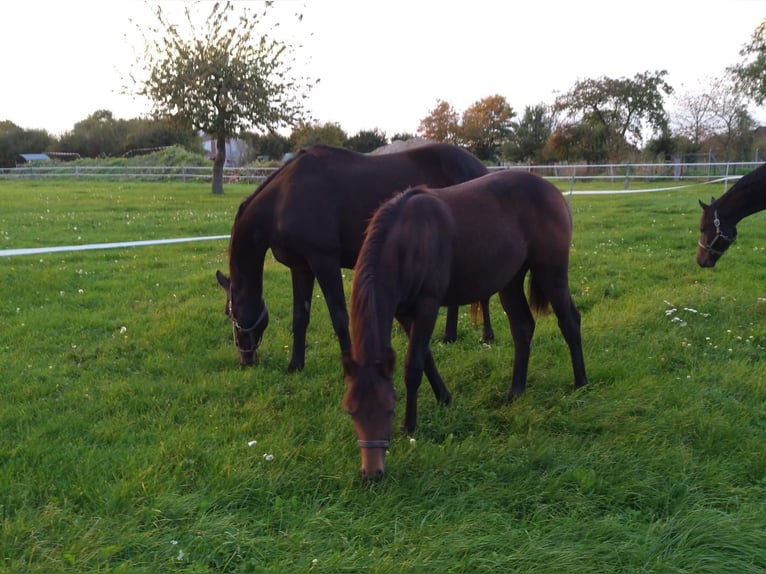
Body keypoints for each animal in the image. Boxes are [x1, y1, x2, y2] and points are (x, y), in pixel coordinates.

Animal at [216, 142, 496, 372]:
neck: (285, 197)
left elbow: (339, 316)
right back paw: (450, 336)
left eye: (231, 313)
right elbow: (300, 317)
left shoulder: (324, 261)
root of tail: (480, 167)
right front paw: (295, 365)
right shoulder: (301, 268)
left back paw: (487, 336)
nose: (245, 358)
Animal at [344, 170, 592, 482]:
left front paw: (410, 426)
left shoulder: (427, 305)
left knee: (569, 321)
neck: (406, 240)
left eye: (389, 409)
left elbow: (413, 366)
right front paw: (444, 397)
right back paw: (515, 391)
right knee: (522, 328)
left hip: (551, 271)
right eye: (351, 411)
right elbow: (426, 357)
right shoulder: (403, 312)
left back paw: (581, 383)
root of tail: (552, 190)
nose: (371, 474)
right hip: (510, 280)